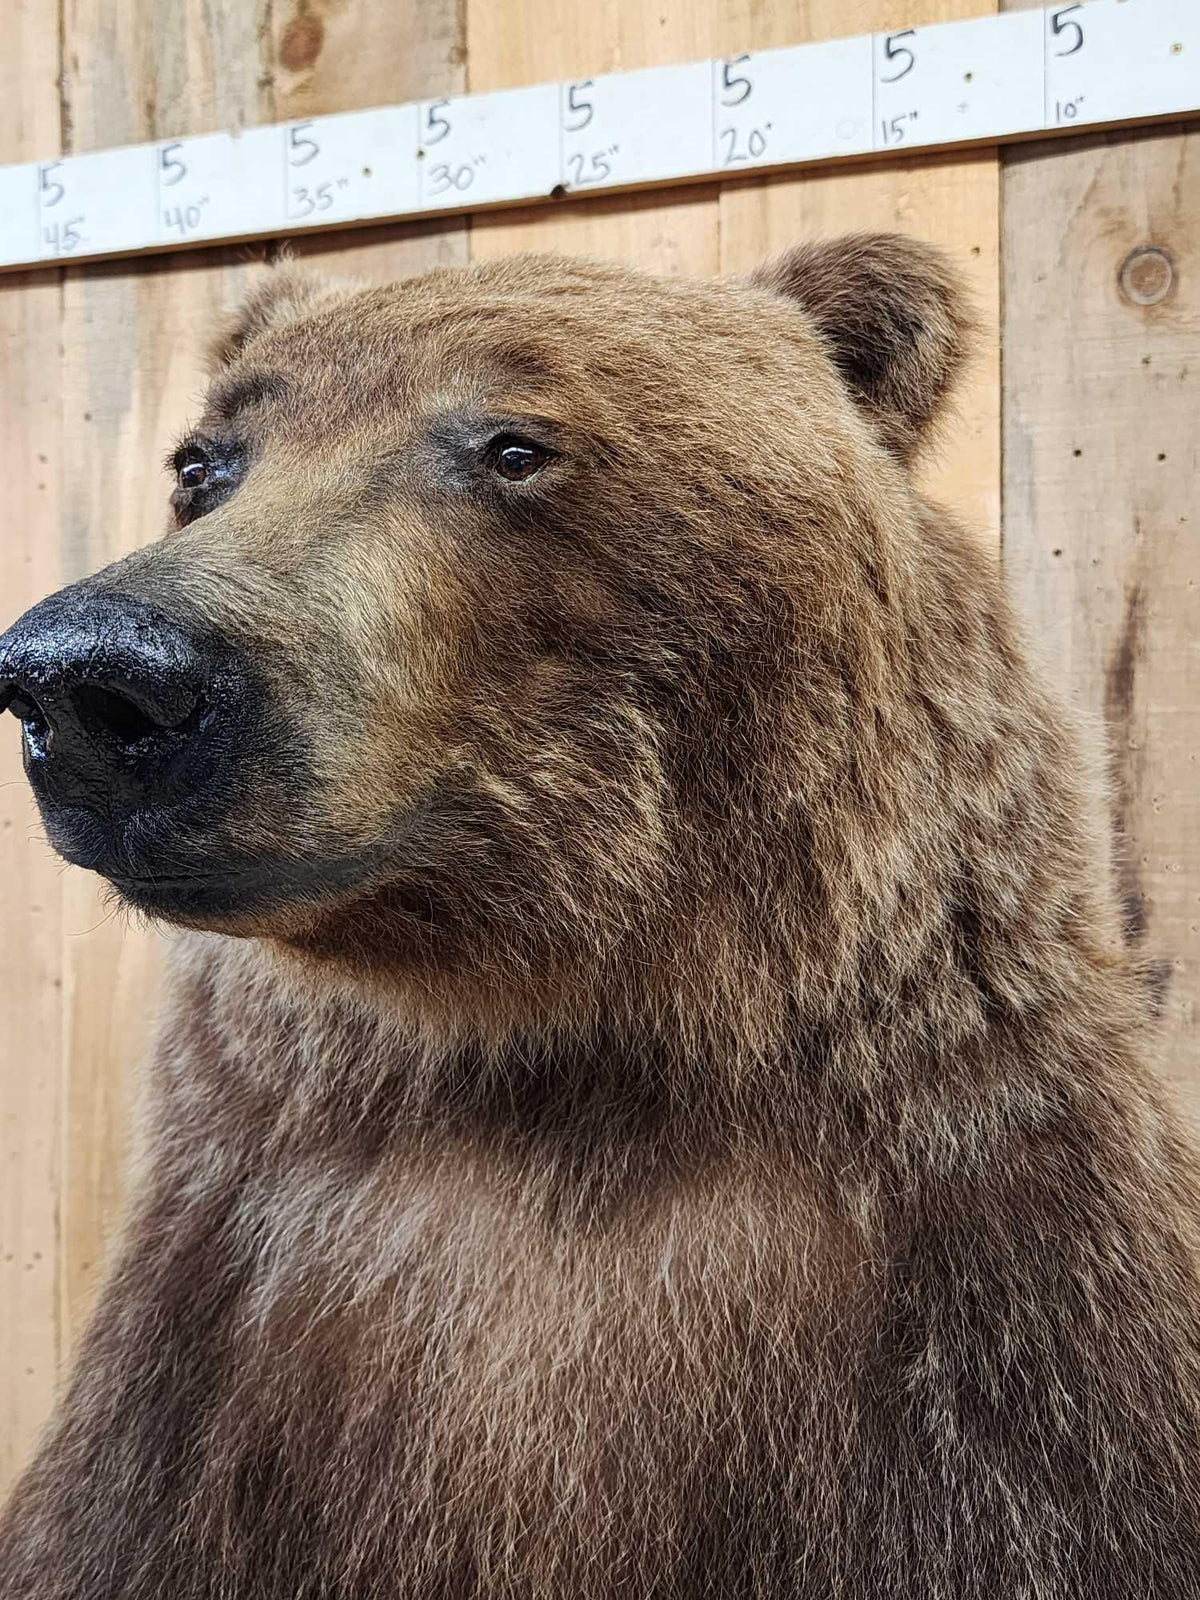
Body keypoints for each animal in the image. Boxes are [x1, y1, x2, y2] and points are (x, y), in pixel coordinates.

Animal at [0, 233, 1198, 1598]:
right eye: (203, 464)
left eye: (514, 442)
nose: (96, 675)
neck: (565, 1056)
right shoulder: (210, 1353)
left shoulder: (1003, 1354)